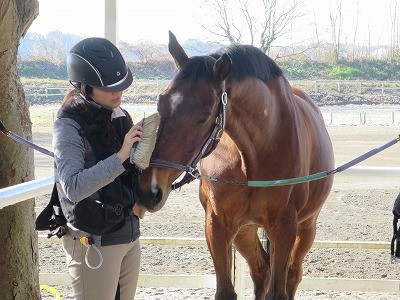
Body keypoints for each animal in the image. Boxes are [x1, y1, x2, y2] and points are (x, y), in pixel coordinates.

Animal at [134, 31, 334, 300]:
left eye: (204, 117)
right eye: (160, 104)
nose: (149, 189)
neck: (252, 156)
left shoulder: (284, 227)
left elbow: (278, 291)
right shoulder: (218, 224)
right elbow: (226, 291)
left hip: (306, 227)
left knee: (292, 275)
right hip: (244, 231)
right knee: (261, 270)